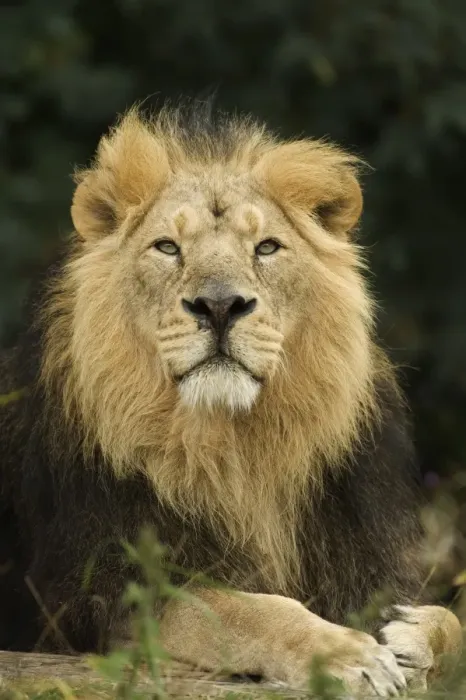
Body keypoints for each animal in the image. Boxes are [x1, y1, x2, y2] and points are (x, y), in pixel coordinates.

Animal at [0, 103, 462, 696]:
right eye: (167, 247)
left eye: (266, 247)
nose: (220, 306)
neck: (237, 452)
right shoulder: (109, 593)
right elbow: (247, 610)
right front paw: (347, 655)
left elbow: (454, 624)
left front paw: (412, 637)